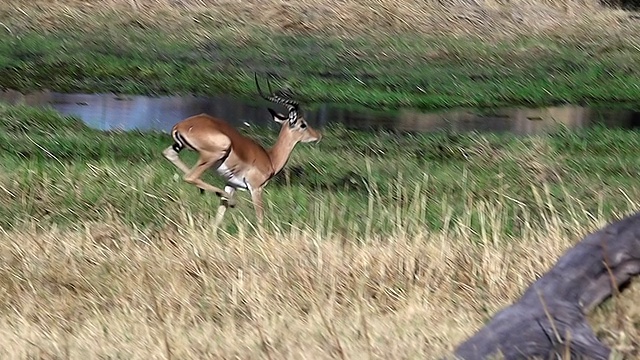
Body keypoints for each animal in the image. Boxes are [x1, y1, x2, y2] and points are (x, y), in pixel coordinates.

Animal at [162, 74, 322, 225]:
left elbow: (218, 218)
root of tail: (180, 126)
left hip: (181, 147)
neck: (270, 158)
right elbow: (260, 219)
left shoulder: (231, 184)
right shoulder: (256, 188)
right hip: (218, 150)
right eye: (303, 124)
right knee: (190, 177)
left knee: (169, 154)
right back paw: (229, 200)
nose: (318, 135)